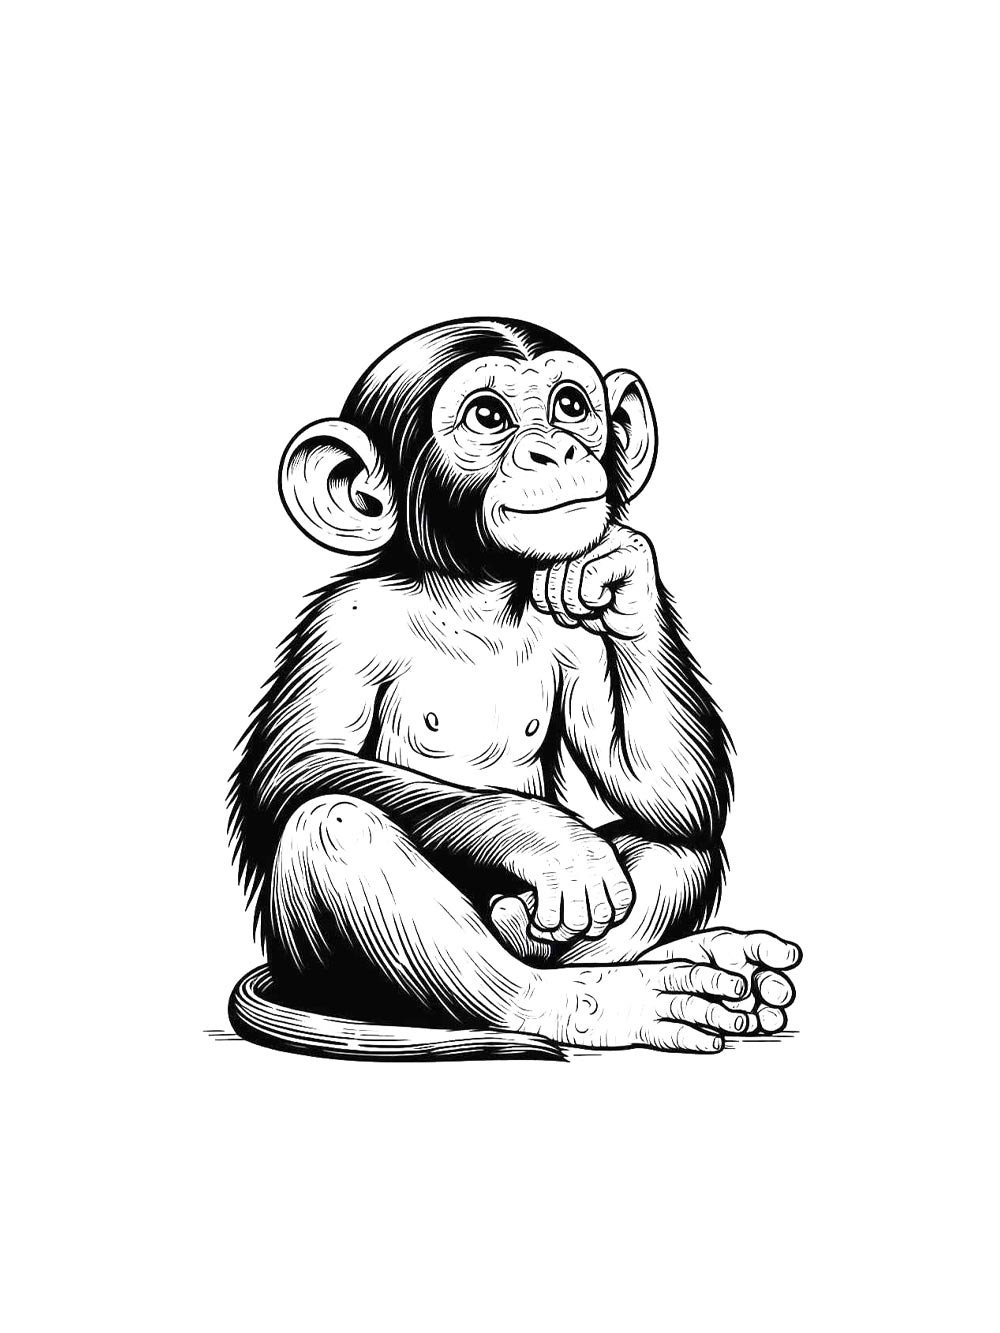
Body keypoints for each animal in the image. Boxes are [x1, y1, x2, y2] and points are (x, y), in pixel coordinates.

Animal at [227, 317, 801, 1060]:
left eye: (570, 405)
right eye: (489, 417)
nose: (553, 447)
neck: (475, 594)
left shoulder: (577, 634)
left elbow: (676, 795)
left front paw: (622, 569)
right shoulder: (342, 623)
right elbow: (299, 762)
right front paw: (549, 842)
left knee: (681, 847)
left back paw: (682, 958)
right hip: (319, 966)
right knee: (334, 826)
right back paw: (598, 1003)